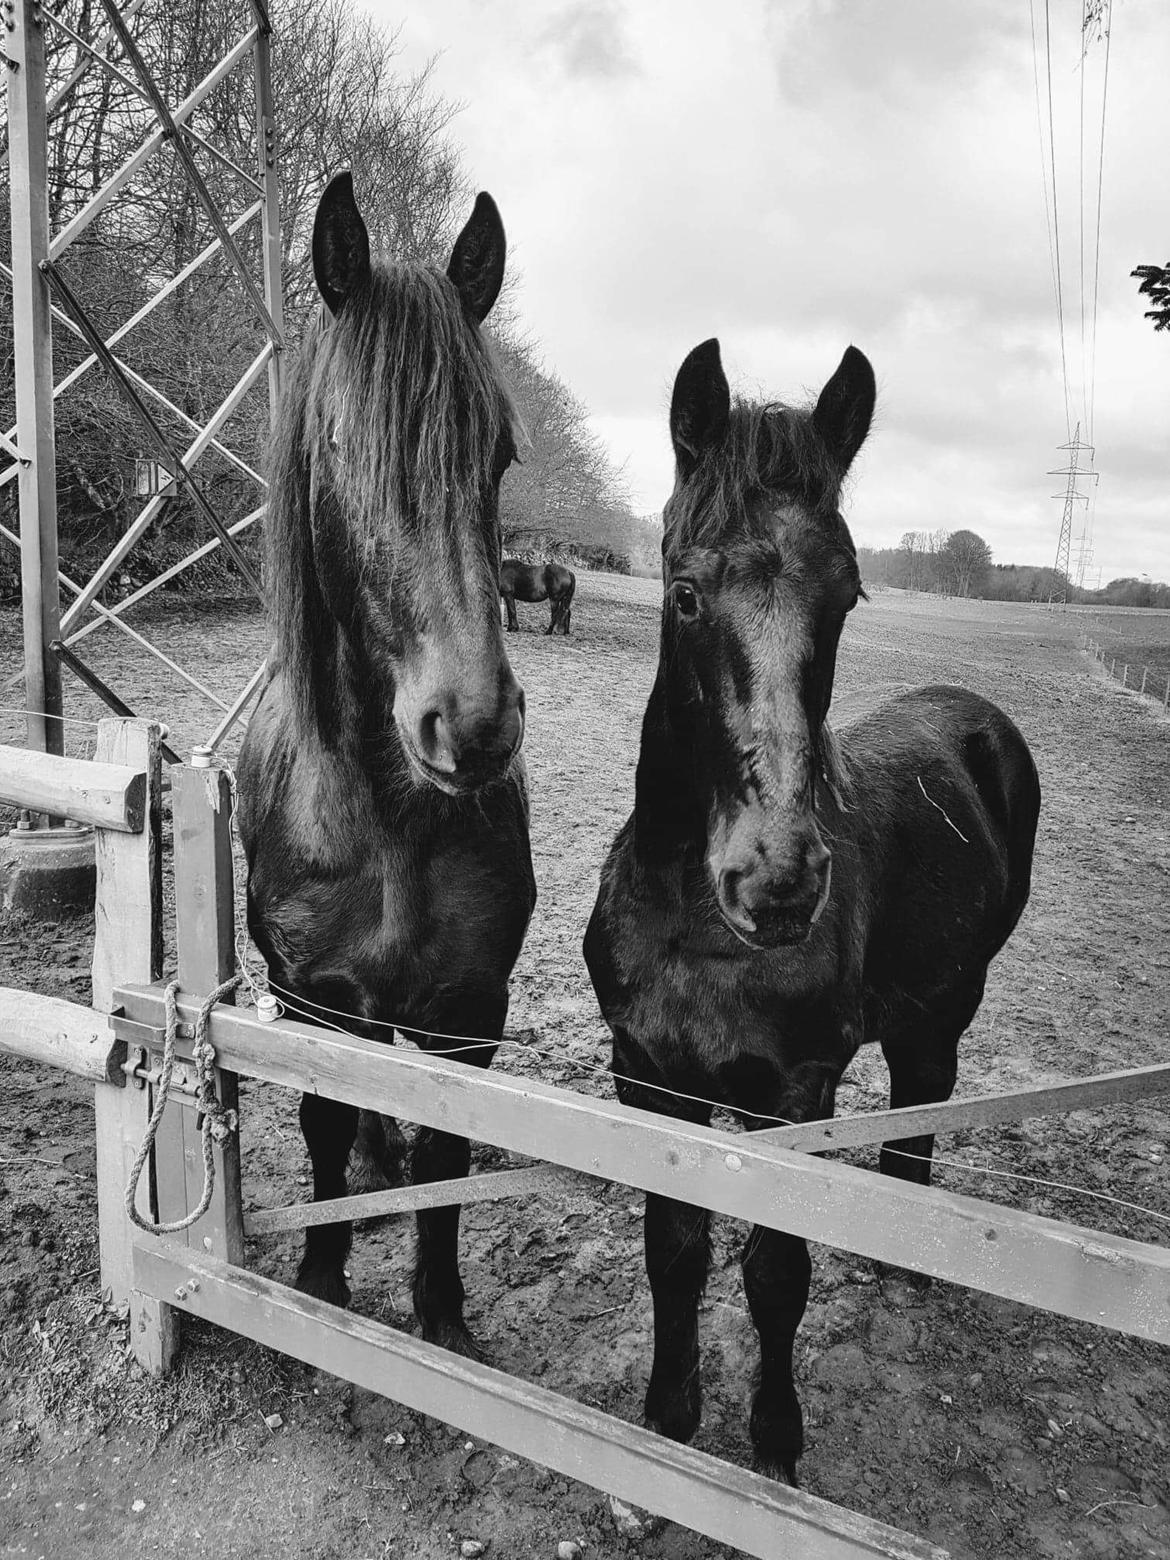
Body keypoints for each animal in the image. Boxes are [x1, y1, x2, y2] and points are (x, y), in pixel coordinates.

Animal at [238, 177, 539, 1360]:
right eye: (341, 441)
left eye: (498, 453)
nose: (474, 725)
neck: (389, 827)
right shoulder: (312, 998)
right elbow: (323, 1123)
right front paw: (323, 1279)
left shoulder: (469, 1009)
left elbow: (449, 1156)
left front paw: (441, 1310)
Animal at [586, 335, 1042, 1478]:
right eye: (685, 590)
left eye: (847, 598)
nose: (777, 880)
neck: (693, 926)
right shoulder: (646, 1076)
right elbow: (675, 1251)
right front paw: (671, 1419)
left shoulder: (791, 1095)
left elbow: (774, 1274)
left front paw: (775, 1445)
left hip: (943, 1009)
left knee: (924, 1101)